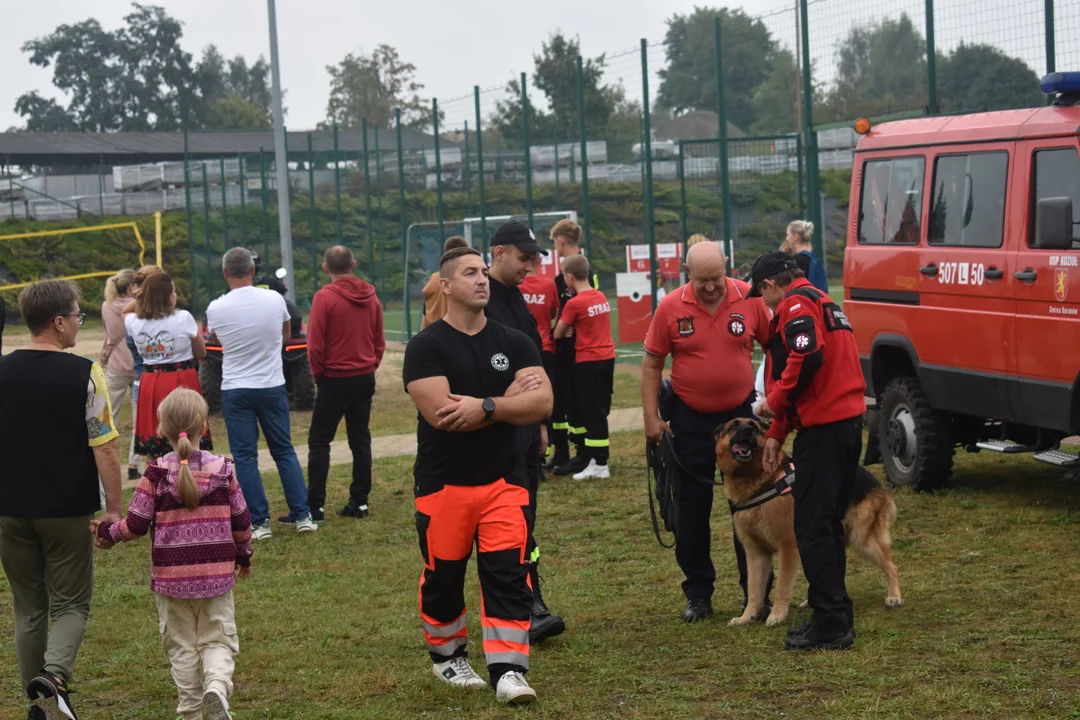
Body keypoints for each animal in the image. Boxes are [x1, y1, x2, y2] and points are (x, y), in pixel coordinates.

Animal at [712, 418, 898, 626]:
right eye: (734, 425)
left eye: (753, 425)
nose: (747, 430)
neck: (761, 482)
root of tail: (876, 483)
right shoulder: (756, 553)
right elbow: (753, 590)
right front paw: (747, 617)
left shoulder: (787, 547)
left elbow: (782, 586)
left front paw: (777, 615)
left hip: (861, 540)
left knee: (891, 566)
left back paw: (894, 596)